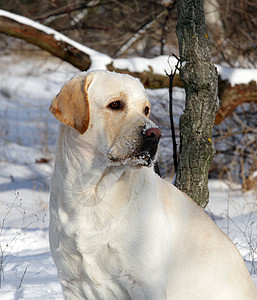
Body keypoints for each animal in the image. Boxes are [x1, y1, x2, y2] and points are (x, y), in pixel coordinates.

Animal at [48, 69, 256, 298]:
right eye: (115, 104)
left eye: (145, 109)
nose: (155, 134)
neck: (92, 194)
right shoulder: (73, 284)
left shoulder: (145, 283)